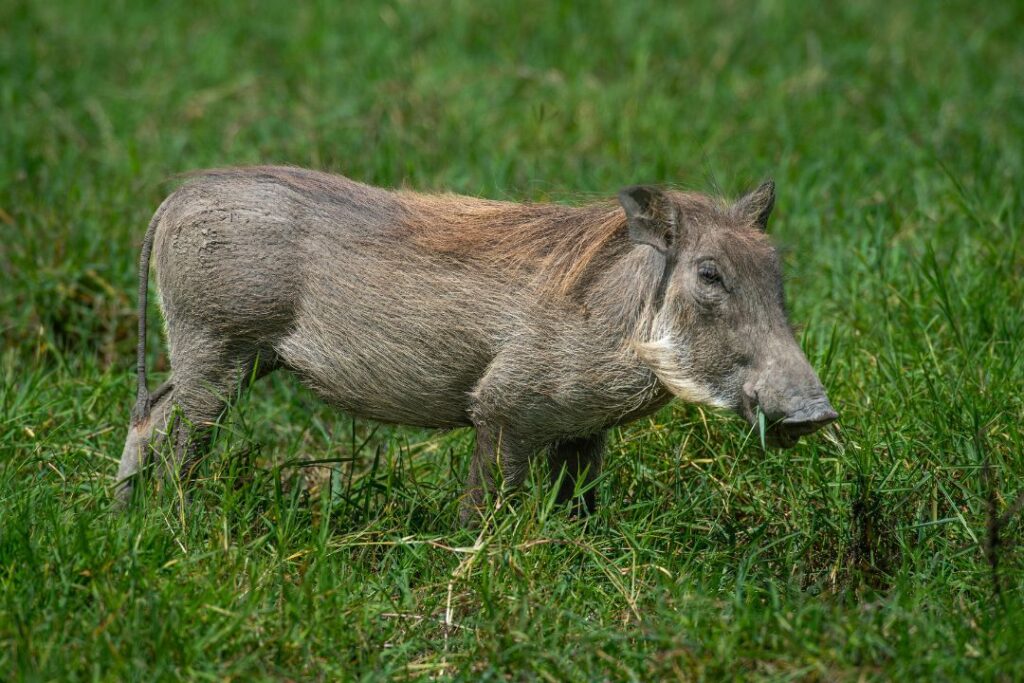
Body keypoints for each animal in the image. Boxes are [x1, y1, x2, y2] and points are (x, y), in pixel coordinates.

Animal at [116, 166, 837, 523]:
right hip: (215, 346)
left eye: (776, 272)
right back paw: (176, 526)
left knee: (150, 412)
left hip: (239, 357)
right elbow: (485, 508)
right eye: (710, 274)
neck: (624, 316)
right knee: (182, 436)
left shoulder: (585, 430)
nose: (816, 413)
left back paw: (123, 517)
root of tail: (176, 197)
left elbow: (580, 510)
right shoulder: (505, 411)